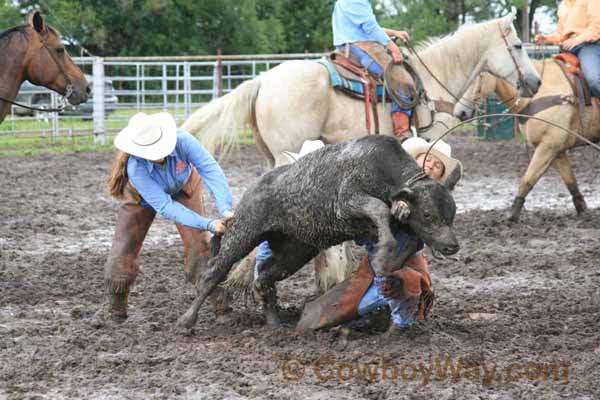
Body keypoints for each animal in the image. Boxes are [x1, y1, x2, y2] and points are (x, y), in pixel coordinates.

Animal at [454, 60, 596, 222]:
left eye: (476, 75)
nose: (459, 113)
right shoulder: (556, 150)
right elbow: (570, 181)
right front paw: (583, 211)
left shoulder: (548, 146)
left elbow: (527, 180)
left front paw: (512, 216)